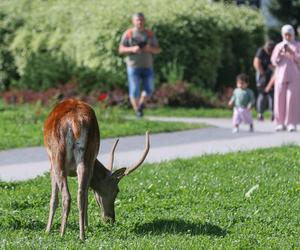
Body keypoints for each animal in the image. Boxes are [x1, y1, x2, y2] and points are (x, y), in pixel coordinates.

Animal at [43, 98, 150, 240]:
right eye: (117, 190)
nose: (111, 219)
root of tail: (75, 121)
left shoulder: (51, 164)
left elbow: (53, 198)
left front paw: (47, 230)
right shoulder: (91, 165)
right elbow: (88, 195)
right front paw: (87, 226)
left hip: (57, 155)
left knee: (66, 195)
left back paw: (62, 233)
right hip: (87, 157)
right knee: (81, 195)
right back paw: (82, 234)